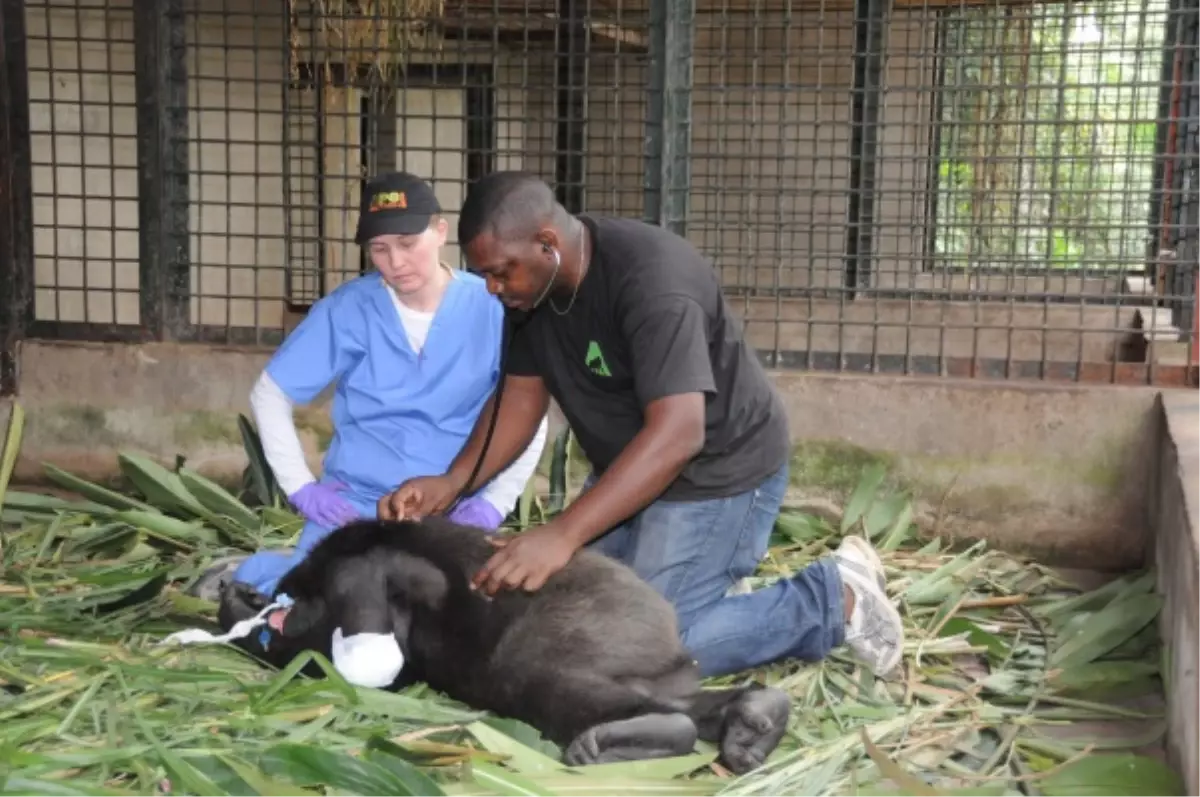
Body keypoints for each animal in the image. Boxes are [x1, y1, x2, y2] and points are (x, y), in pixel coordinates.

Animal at [216, 516, 792, 772]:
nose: (237, 595)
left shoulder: (351, 565)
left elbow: (394, 586)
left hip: (607, 616)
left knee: (537, 674)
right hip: (647, 657)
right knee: (666, 700)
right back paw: (744, 722)